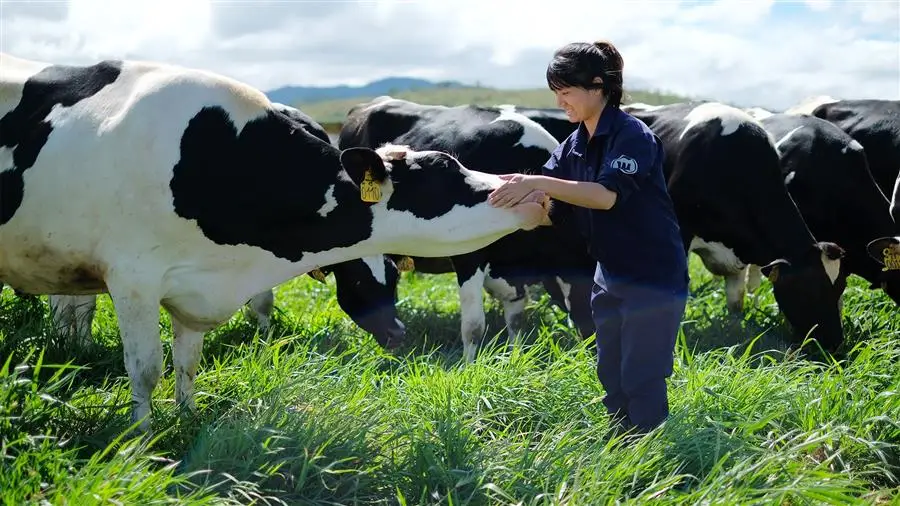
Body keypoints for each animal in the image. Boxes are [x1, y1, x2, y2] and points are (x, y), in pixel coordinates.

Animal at [338, 97, 596, 362]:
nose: (593, 350)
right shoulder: (468, 253)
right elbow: (474, 326)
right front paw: (470, 366)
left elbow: (516, 319)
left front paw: (515, 356)